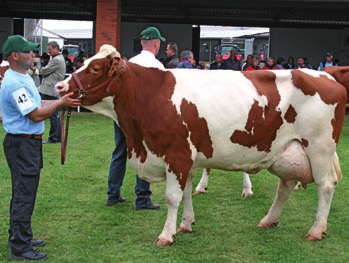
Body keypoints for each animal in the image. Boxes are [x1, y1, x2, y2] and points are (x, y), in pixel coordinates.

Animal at [56, 44, 346, 248]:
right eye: (85, 63)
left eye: (95, 68)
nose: (60, 86)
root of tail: (326, 76)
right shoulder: (185, 158)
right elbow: (185, 193)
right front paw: (185, 225)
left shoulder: (177, 153)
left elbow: (172, 197)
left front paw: (166, 235)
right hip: (284, 151)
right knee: (285, 186)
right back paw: (268, 220)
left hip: (319, 147)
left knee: (326, 186)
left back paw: (315, 230)